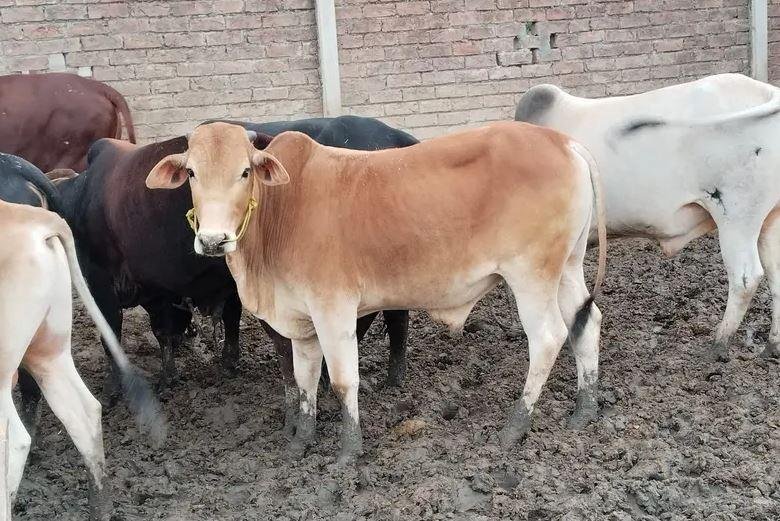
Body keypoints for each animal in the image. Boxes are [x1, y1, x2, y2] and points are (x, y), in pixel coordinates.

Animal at [53, 116, 416, 435]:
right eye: (190, 173)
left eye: (245, 172)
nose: (212, 240)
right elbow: (202, 325)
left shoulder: (104, 283)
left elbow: (115, 334)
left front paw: (120, 389)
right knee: (396, 316)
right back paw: (393, 377)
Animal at [145, 121, 607, 463]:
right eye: (192, 173)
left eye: (244, 171)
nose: (213, 240)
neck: (282, 211)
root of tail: (563, 141)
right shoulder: (304, 321)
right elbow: (305, 380)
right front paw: (301, 441)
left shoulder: (333, 308)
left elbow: (342, 381)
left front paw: (349, 452)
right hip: (567, 268)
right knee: (586, 324)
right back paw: (583, 411)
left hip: (532, 275)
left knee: (548, 338)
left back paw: (515, 427)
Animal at [515, 73, 780, 361]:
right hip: (770, 219)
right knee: (775, 275)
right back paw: (772, 346)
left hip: (737, 217)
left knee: (746, 278)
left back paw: (718, 345)